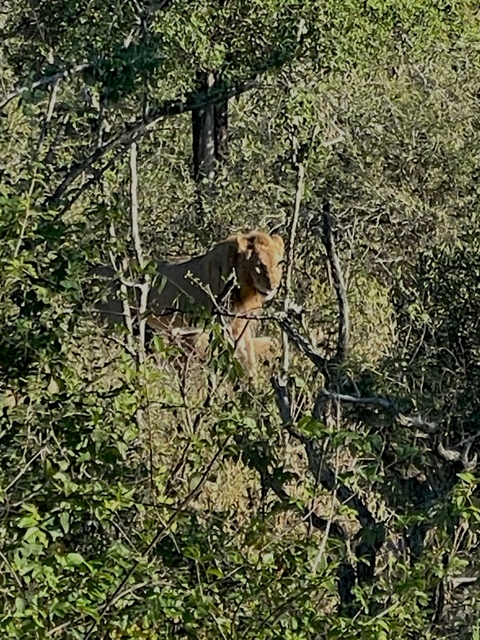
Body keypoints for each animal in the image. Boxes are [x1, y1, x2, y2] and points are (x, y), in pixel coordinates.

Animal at [93, 231, 285, 367]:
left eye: (278, 264)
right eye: (260, 266)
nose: (273, 286)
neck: (246, 287)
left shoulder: (240, 323)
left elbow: (248, 355)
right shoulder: (225, 322)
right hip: (114, 324)